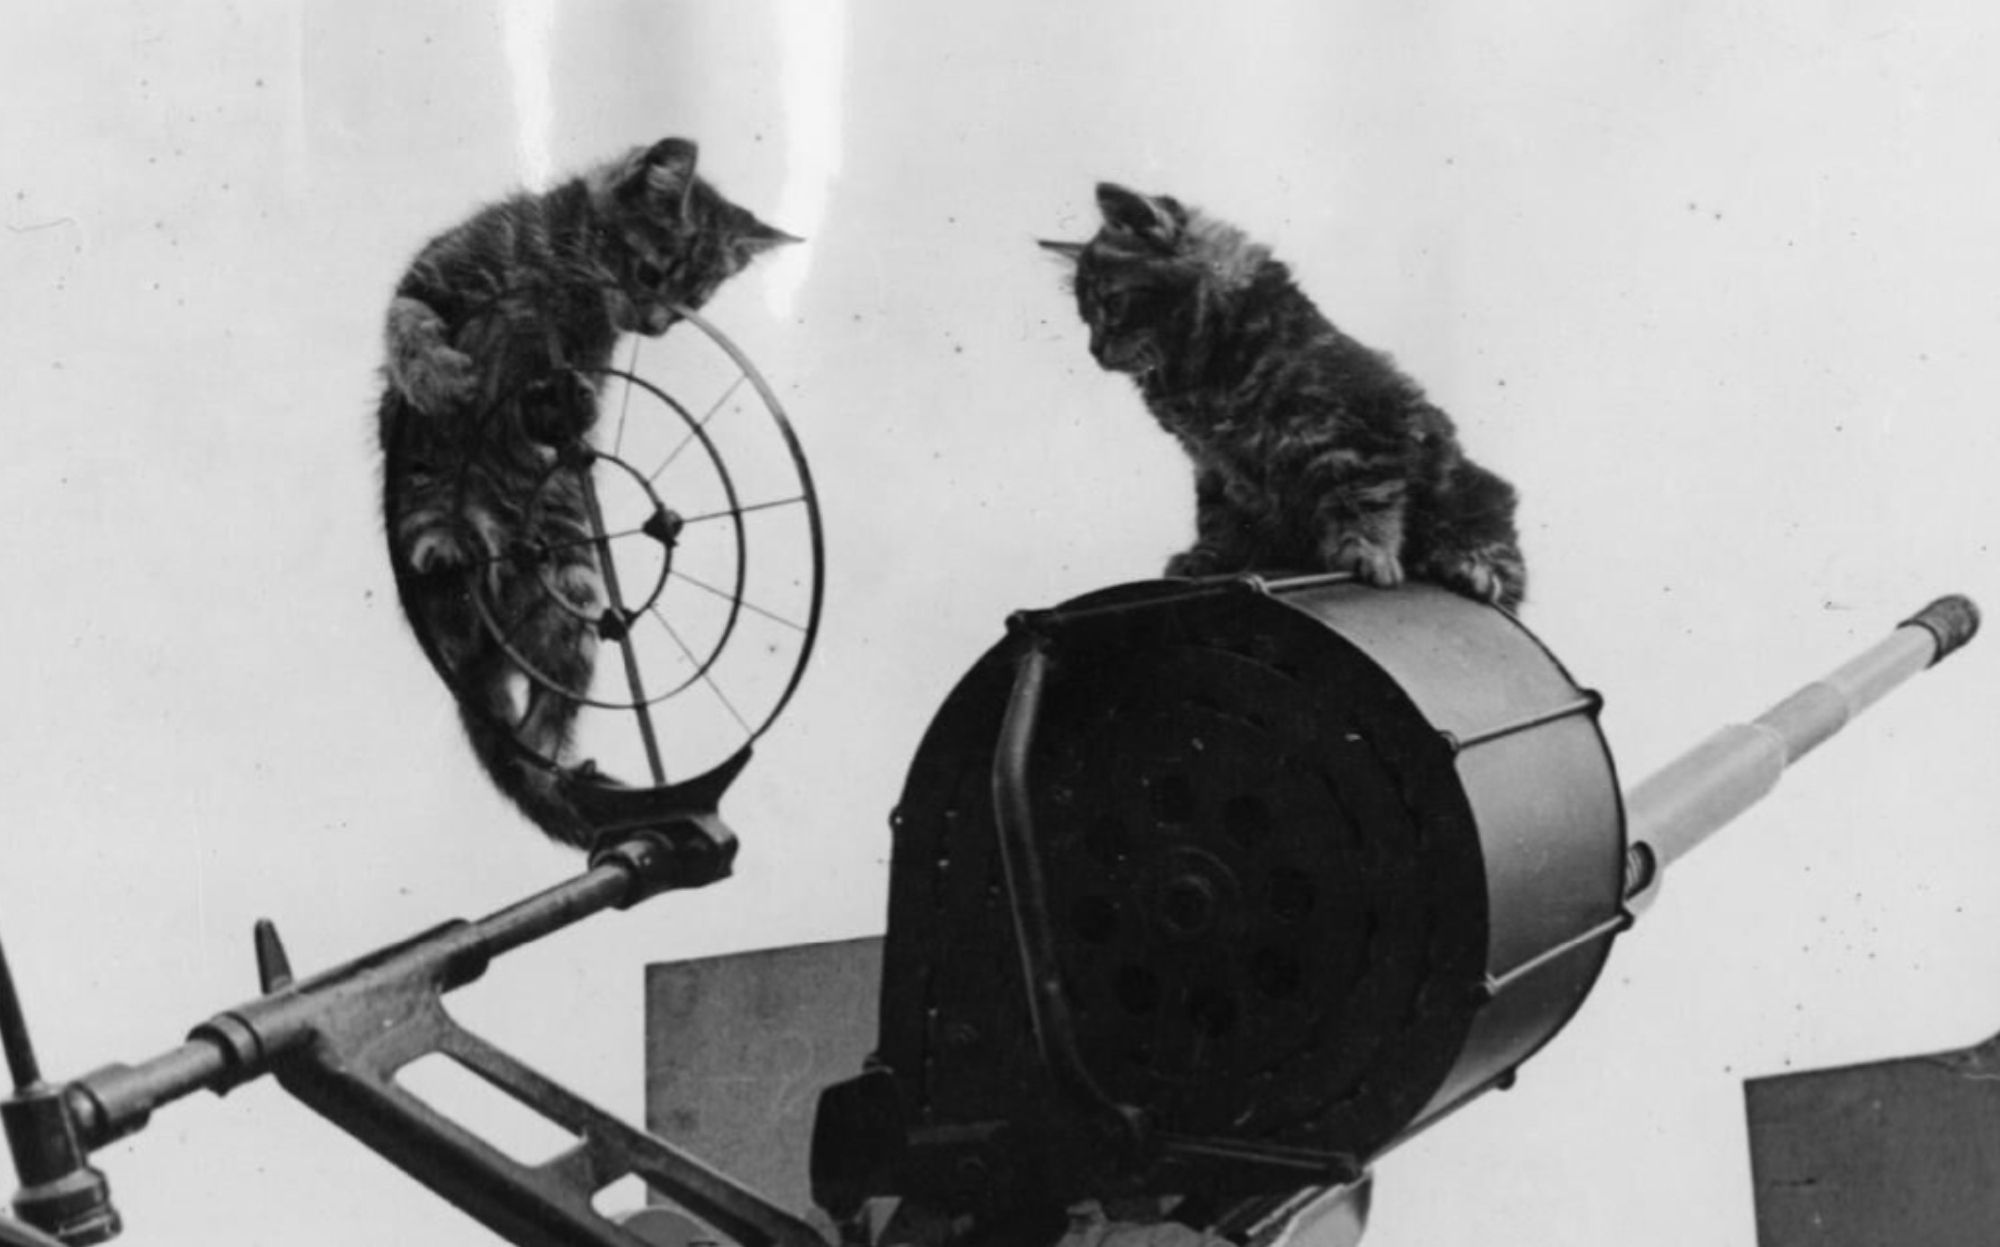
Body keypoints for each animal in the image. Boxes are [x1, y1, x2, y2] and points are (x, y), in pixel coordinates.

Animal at [380, 138, 796, 847]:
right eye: (652, 274)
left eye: (693, 300)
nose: (656, 327)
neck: (559, 274)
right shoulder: (435, 271)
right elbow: (406, 320)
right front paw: (437, 375)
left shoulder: (583, 365)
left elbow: (564, 404)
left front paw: (558, 401)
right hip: (421, 510)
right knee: (445, 568)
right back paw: (453, 554)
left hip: (573, 587)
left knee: (545, 718)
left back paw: (560, 759)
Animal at [1040, 183, 1520, 607]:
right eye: (1085, 317)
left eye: (1112, 304)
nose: (1094, 350)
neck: (1204, 367)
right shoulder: (1215, 465)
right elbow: (1216, 519)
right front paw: (1207, 558)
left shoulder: (1365, 431)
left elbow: (1364, 496)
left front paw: (1366, 551)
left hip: (1471, 491)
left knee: (1502, 563)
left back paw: (1470, 570)